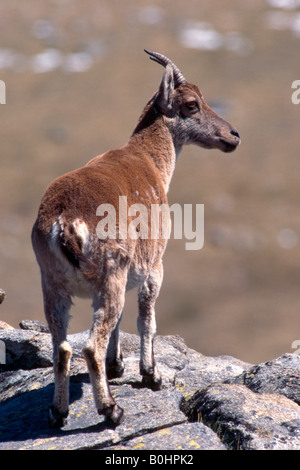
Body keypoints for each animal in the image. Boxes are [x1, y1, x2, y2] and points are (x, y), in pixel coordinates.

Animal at [31, 49, 240, 428]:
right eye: (191, 104)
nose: (233, 135)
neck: (150, 161)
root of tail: (64, 223)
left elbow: (122, 322)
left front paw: (118, 366)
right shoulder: (154, 265)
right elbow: (146, 318)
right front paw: (150, 374)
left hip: (53, 282)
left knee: (63, 346)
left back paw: (58, 412)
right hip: (108, 274)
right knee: (89, 346)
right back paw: (111, 410)